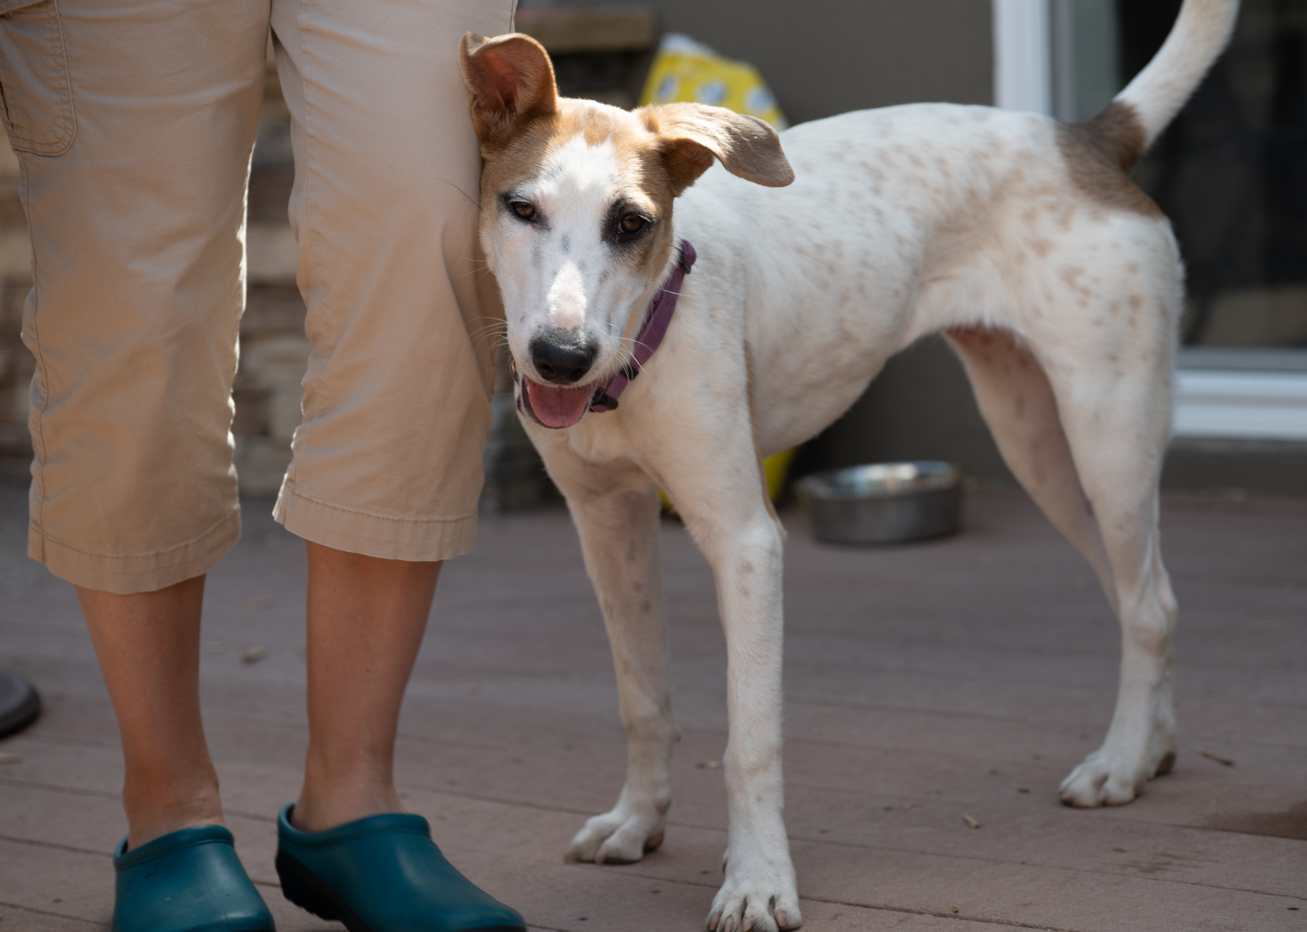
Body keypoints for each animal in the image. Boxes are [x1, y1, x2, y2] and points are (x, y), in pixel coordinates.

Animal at [457, 3, 1233, 925]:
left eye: (631, 224)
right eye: (520, 208)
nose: (561, 358)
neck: (639, 352)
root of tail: (1079, 138)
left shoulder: (746, 542)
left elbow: (749, 740)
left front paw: (756, 881)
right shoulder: (606, 525)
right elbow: (641, 694)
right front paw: (638, 820)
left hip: (1105, 428)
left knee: (1148, 604)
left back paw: (1118, 763)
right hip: (1040, 450)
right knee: (1145, 594)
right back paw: (1151, 749)